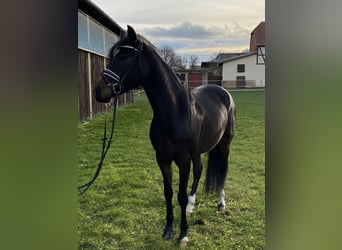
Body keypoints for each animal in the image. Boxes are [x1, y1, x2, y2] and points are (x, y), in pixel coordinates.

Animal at [93, 25, 235, 246]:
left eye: (124, 57)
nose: (98, 91)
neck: (174, 111)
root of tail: (223, 92)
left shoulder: (183, 160)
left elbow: (180, 195)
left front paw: (183, 234)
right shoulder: (162, 158)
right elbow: (168, 193)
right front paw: (168, 229)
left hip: (224, 144)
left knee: (222, 171)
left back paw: (221, 203)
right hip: (198, 152)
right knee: (199, 171)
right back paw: (191, 207)